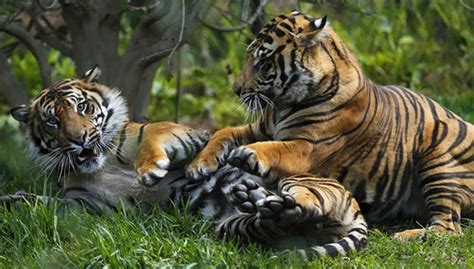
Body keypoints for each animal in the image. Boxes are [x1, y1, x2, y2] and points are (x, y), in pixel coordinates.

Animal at [188, 11, 474, 240]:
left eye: (264, 63)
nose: (236, 90)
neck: (282, 105)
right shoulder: (260, 128)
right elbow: (224, 131)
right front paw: (198, 165)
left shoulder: (308, 147)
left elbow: (277, 148)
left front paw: (248, 154)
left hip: (438, 157)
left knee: (449, 227)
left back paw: (406, 236)